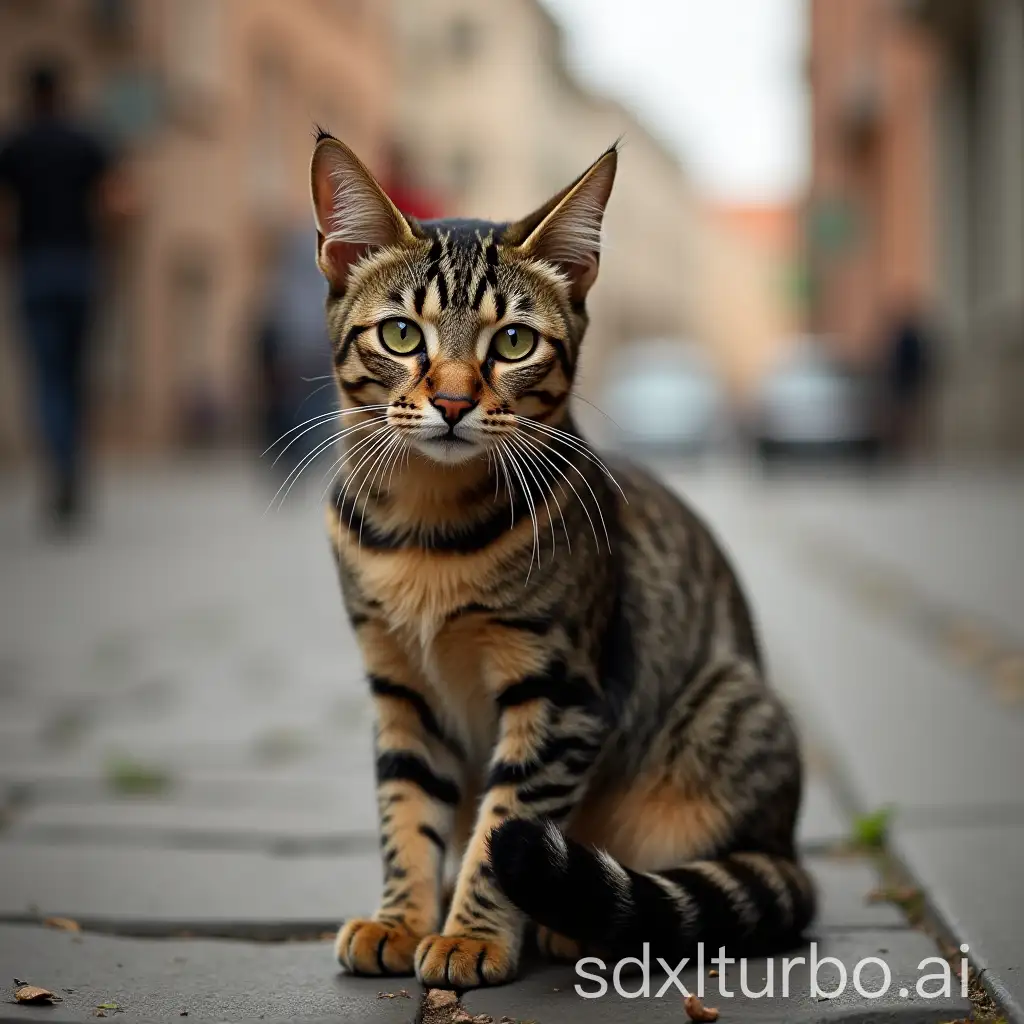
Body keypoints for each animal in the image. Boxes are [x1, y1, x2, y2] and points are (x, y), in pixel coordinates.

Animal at [307, 132, 811, 987]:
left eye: (513, 342)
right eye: (402, 335)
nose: (451, 401)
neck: (426, 531)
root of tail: (788, 844)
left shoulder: (559, 690)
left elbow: (503, 822)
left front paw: (472, 935)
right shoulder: (399, 685)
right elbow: (405, 811)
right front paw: (402, 918)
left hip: (725, 716)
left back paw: (577, 923)